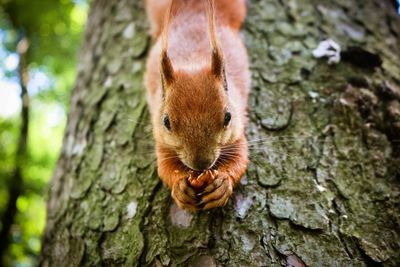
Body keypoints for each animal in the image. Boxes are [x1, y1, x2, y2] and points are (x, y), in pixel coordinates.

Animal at [144, 0, 250, 213]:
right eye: (166, 122)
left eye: (228, 117)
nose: (201, 164)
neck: (193, 63)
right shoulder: (162, 143)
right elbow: (165, 168)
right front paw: (180, 188)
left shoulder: (237, 133)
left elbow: (240, 159)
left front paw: (222, 185)